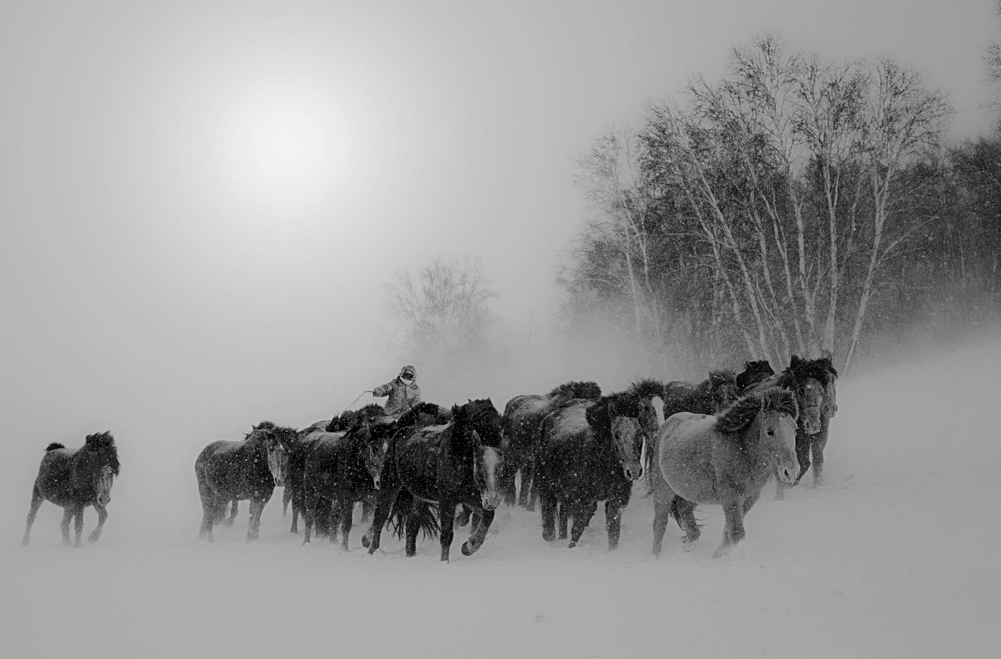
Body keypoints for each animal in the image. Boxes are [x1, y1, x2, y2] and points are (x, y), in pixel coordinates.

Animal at [360, 398, 504, 560]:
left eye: (500, 463)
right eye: (478, 463)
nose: (492, 501)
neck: (456, 455)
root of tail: (401, 430)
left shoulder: (471, 497)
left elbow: (488, 516)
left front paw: (468, 546)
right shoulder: (447, 500)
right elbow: (446, 535)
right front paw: (445, 561)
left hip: (418, 497)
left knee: (411, 527)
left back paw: (411, 556)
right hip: (389, 486)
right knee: (379, 519)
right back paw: (372, 551)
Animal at [536, 390, 652, 548]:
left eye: (639, 433)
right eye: (616, 434)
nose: (633, 471)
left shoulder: (615, 500)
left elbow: (613, 534)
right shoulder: (582, 500)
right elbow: (577, 529)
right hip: (547, 486)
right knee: (550, 515)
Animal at [652, 386, 800, 556]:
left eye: (795, 429)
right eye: (770, 431)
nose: (791, 471)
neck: (742, 451)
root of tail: (666, 424)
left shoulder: (748, 499)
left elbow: (728, 533)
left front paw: (718, 555)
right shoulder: (731, 498)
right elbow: (736, 533)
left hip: (694, 492)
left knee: (685, 510)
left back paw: (690, 543)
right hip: (664, 490)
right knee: (659, 524)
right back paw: (656, 555)